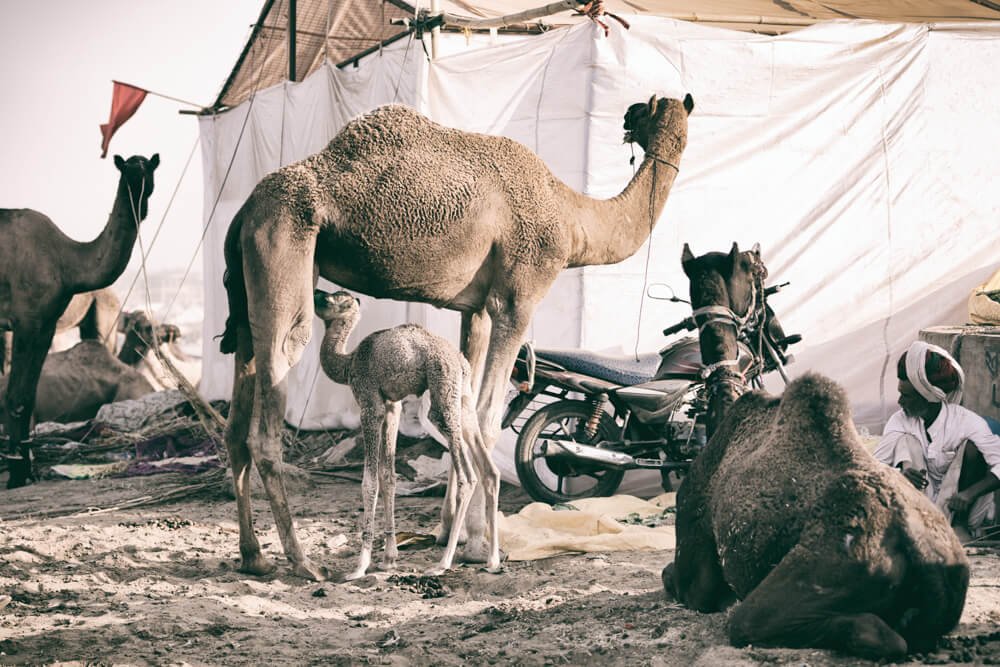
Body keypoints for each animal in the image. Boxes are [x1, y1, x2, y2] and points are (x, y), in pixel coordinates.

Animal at [0, 153, 159, 488]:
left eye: (148, 169)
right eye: (126, 169)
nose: (136, 189)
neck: (66, 260)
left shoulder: (45, 323)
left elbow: (28, 395)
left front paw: (25, 468)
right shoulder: (25, 319)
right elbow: (16, 395)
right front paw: (17, 474)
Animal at [314, 290, 501, 579]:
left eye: (333, 299)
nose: (316, 292)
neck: (349, 362)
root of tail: (460, 361)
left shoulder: (369, 403)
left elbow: (369, 481)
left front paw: (360, 566)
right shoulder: (392, 406)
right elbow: (388, 476)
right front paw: (389, 559)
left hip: (442, 395)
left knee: (468, 476)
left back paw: (443, 563)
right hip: (463, 398)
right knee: (489, 469)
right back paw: (492, 561)